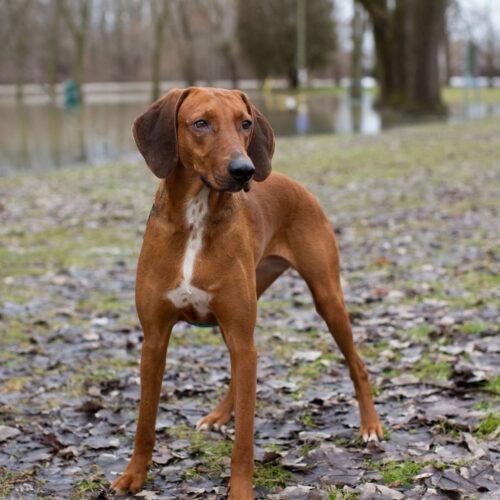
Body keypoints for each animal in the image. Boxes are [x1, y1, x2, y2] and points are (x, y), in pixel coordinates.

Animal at [111, 88, 380, 498]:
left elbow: (244, 441)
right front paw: (133, 476)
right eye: (200, 123)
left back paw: (370, 426)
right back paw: (220, 415)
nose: (244, 170)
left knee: (357, 364)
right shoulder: (154, 339)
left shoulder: (239, 333)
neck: (197, 216)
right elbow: (145, 422)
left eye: (246, 123)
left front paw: (239, 490)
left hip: (327, 298)